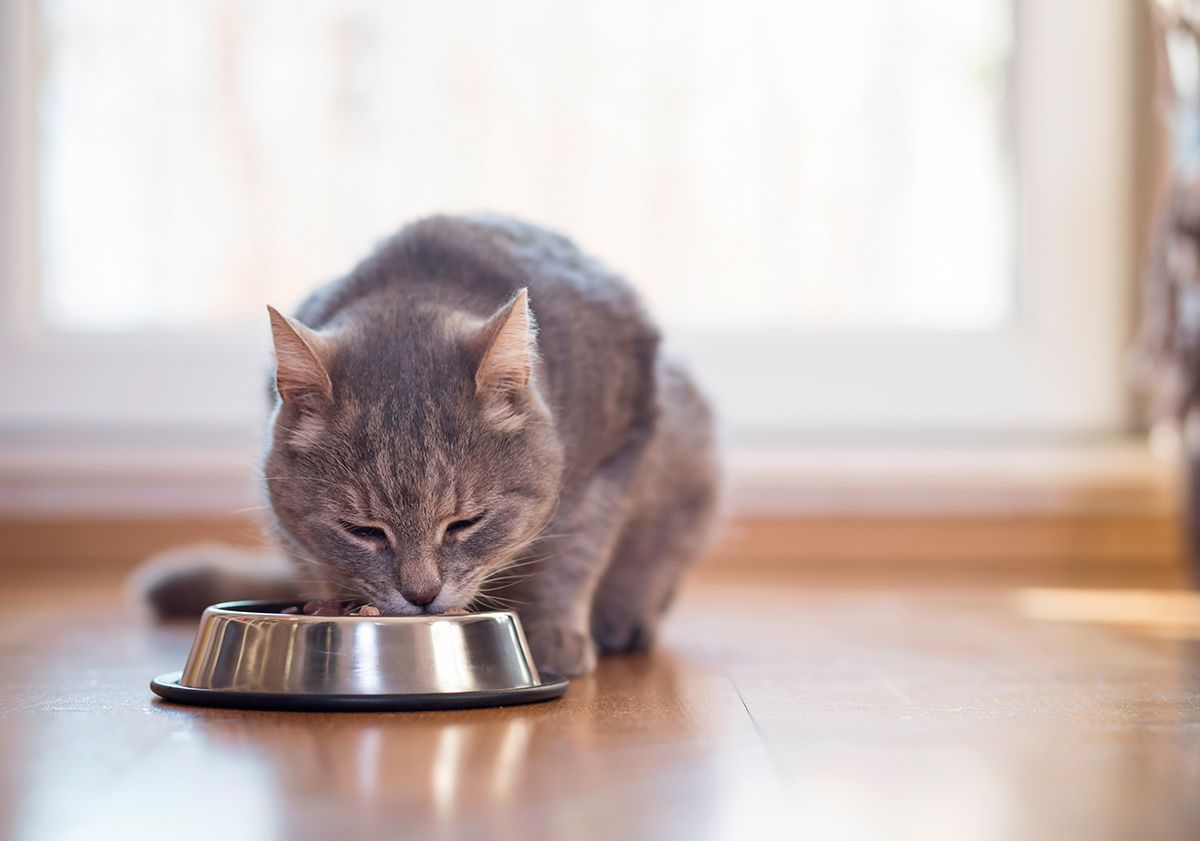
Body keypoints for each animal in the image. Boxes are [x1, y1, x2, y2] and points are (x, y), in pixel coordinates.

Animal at [142, 215, 720, 676]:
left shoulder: (614, 455)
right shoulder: (288, 521)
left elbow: (573, 555)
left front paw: (555, 634)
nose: (421, 595)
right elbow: (315, 559)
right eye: (362, 531)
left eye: (466, 523)